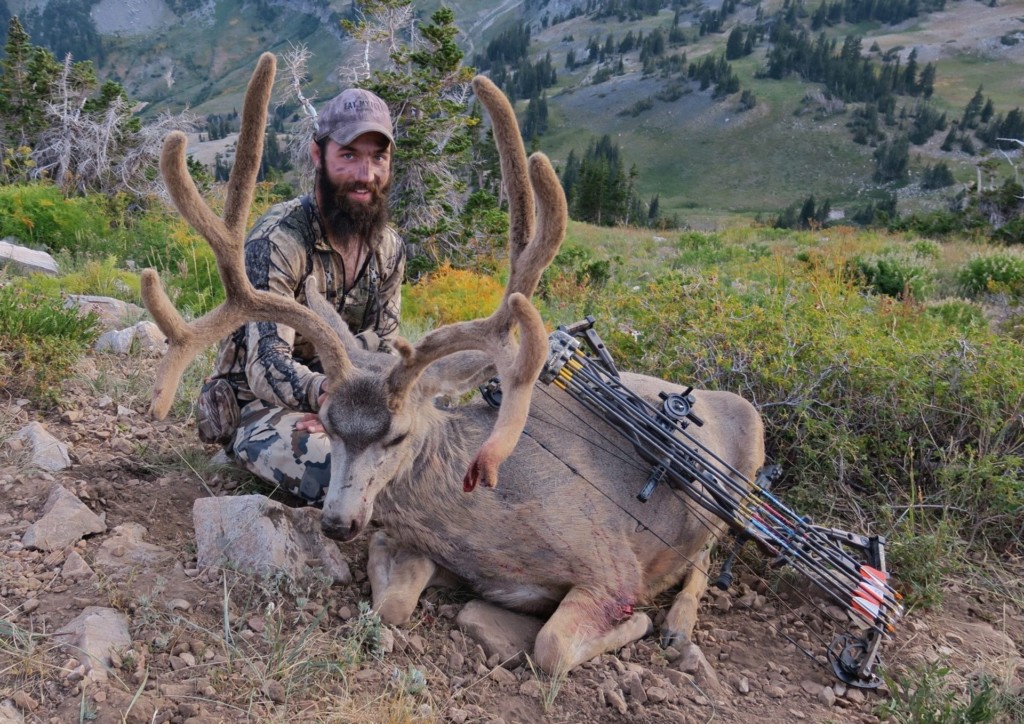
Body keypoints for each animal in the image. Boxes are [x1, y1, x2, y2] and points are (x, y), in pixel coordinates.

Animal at [141, 53, 766, 676]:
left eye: (398, 435)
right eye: (330, 426)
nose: (338, 523)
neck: (481, 521)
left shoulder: (610, 562)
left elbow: (553, 645)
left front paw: (634, 623)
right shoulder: (418, 544)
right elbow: (390, 604)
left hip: (738, 484)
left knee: (707, 560)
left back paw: (677, 626)